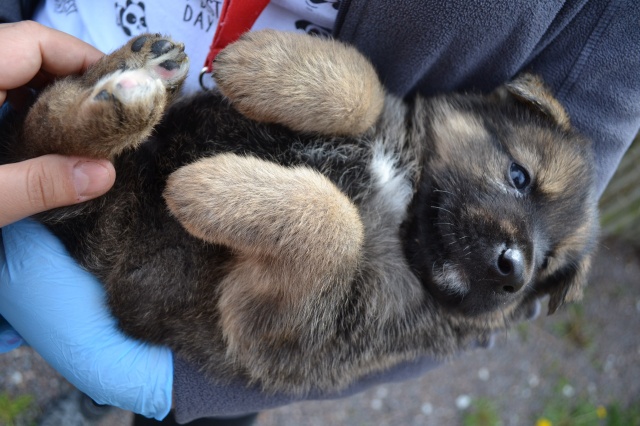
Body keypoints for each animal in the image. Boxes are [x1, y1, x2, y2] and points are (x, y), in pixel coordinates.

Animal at [0, 30, 599, 395]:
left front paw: (207, 188)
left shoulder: (280, 335)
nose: (513, 269)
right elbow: (365, 88)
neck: (404, 211)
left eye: (547, 267)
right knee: (42, 121)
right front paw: (261, 64)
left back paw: (132, 94)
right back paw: (143, 66)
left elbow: (337, 223)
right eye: (519, 177)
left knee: (46, 133)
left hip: (88, 198)